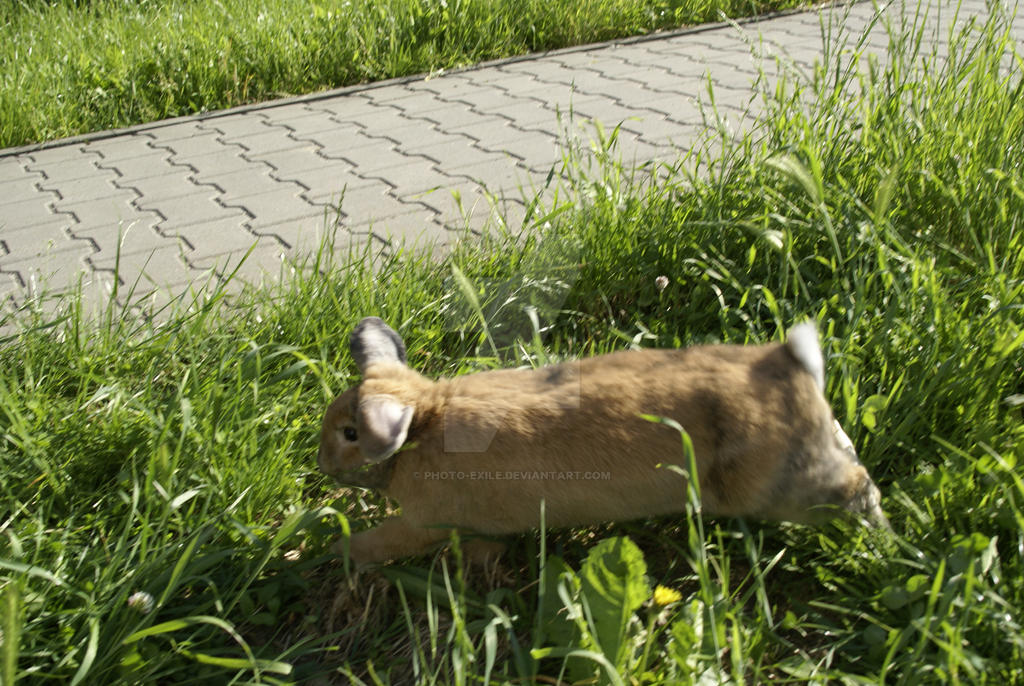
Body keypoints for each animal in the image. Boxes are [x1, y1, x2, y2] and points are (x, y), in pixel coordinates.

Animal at [317, 317, 888, 565]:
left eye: (351, 434)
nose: (322, 463)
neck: (422, 421)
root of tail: (793, 364)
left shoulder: (423, 523)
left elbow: (387, 541)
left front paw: (341, 551)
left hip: (785, 486)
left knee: (856, 487)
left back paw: (881, 537)